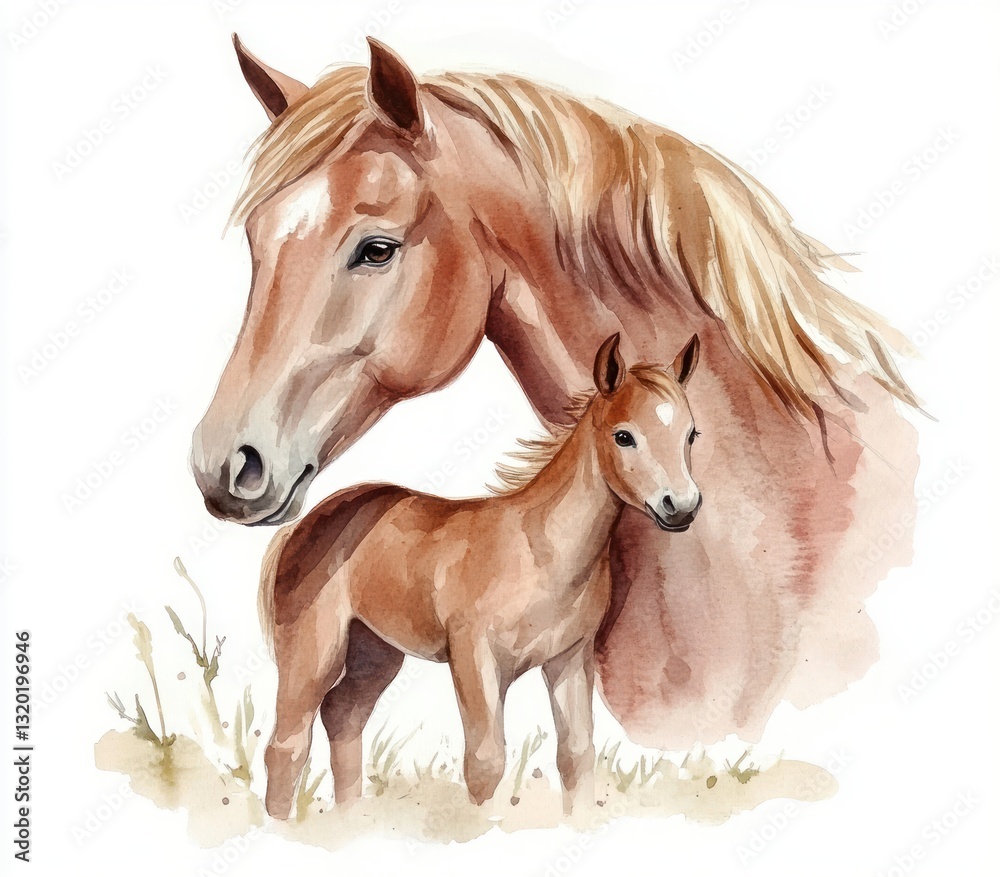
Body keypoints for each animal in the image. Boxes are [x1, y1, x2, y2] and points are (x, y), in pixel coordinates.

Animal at [258, 334, 702, 818]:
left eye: (691, 434)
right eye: (624, 436)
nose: (681, 507)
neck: (539, 549)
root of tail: (302, 525)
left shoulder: (570, 658)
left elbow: (577, 756)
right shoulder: (475, 657)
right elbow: (485, 763)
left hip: (375, 651)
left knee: (343, 716)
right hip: (314, 650)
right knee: (288, 744)